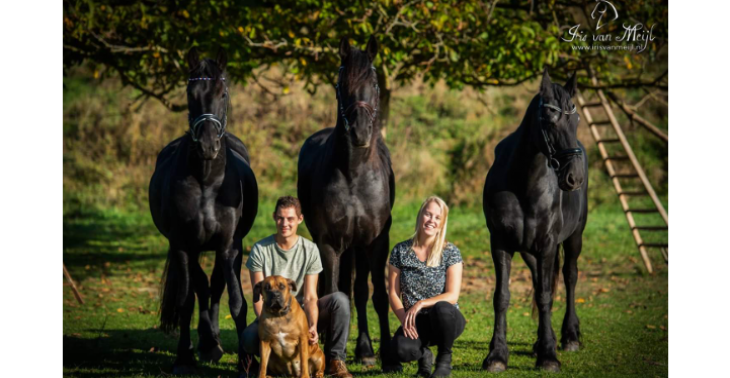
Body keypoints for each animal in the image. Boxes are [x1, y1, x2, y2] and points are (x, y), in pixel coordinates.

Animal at [149, 48, 258, 376]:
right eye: (190, 93)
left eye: (223, 93)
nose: (208, 145)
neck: (207, 180)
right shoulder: (183, 246)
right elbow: (185, 300)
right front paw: (183, 358)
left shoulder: (229, 246)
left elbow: (236, 302)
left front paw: (246, 362)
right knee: (200, 287)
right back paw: (207, 342)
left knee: (214, 286)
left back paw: (213, 342)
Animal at [298, 36, 398, 370]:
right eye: (341, 84)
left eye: (375, 83)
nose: (360, 132)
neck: (354, 175)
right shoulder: (328, 243)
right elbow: (330, 293)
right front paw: (330, 355)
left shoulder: (376, 241)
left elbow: (378, 295)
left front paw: (389, 358)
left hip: (358, 246)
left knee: (360, 291)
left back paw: (365, 350)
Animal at [480, 68, 588, 372]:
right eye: (550, 118)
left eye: (576, 119)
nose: (574, 178)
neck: (523, 183)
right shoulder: (500, 244)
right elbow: (502, 297)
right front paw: (496, 355)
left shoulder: (548, 245)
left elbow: (546, 297)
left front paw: (549, 357)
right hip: (530, 252)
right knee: (542, 281)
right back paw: (542, 340)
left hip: (574, 238)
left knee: (569, 276)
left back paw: (569, 336)